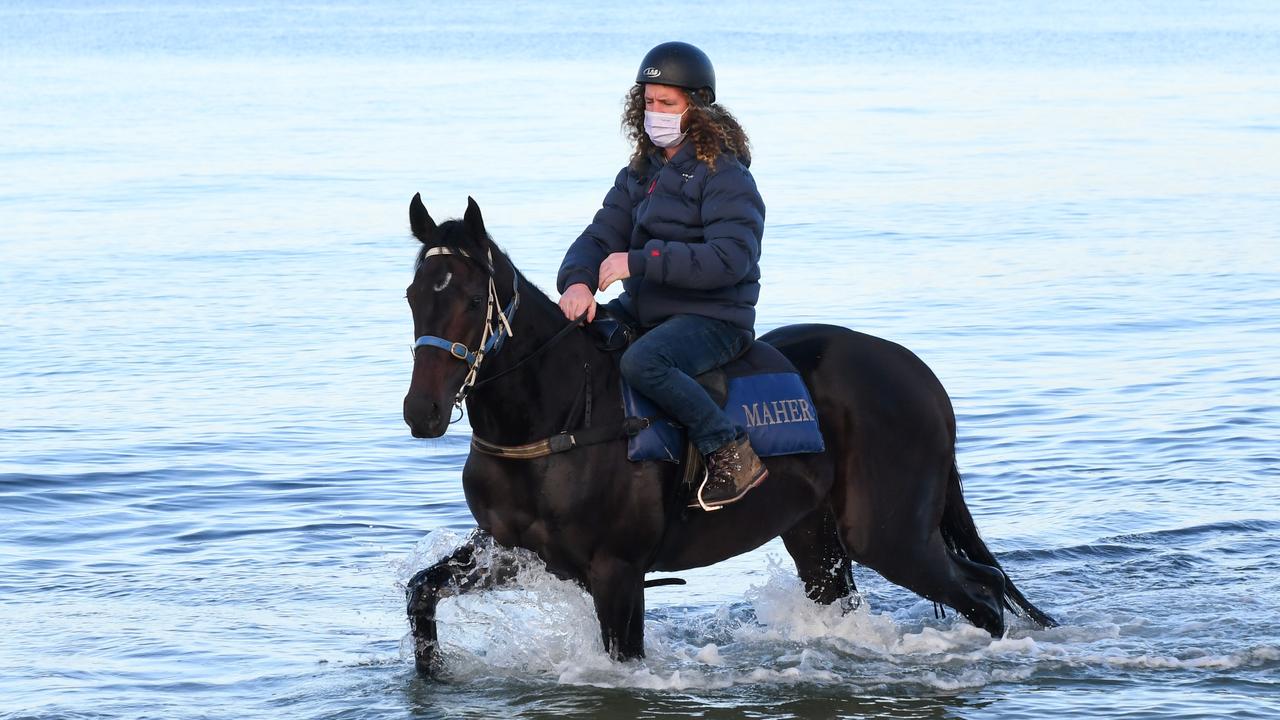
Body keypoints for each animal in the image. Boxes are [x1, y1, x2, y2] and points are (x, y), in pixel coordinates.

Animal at [404, 194, 1054, 671]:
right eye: (413, 295)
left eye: (470, 299)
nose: (422, 411)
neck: (560, 416)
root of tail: (923, 379)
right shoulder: (512, 551)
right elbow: (420, 591)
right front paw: (433, 671)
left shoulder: (618, 572)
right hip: (816, 534)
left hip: (891, 536)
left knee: (984, 592)